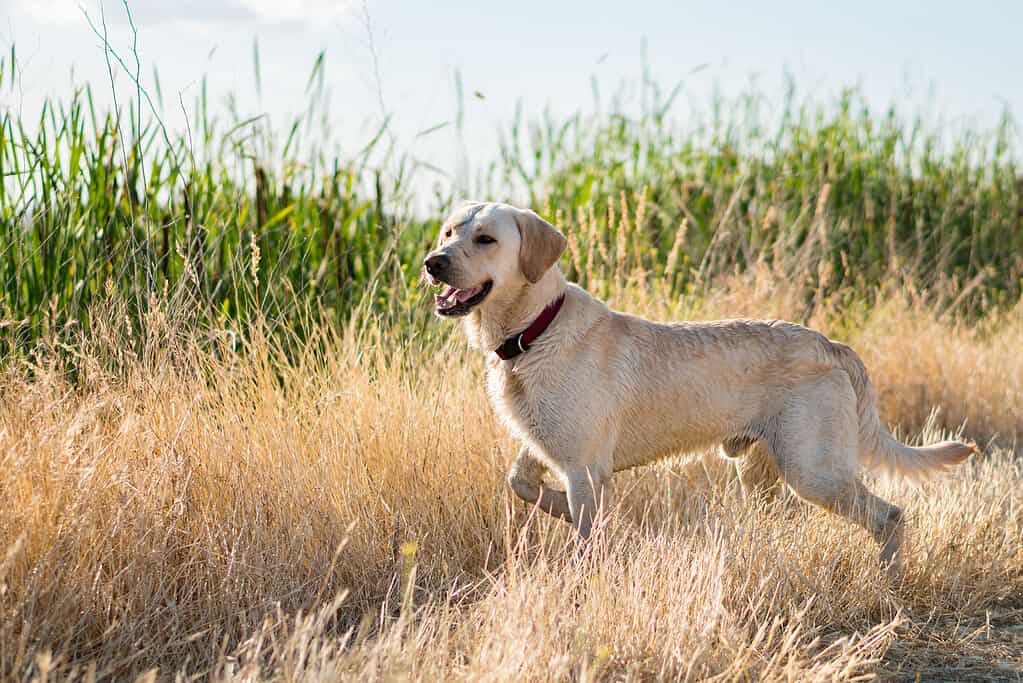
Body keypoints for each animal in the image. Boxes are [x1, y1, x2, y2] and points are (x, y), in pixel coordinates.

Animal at [421, 200, 973, 572]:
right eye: (448, 232)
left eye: (486, 239)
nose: (432, 261)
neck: (534, 330)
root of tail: (830, 343)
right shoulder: (549, 449)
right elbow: (521, 484)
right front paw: (576, 513)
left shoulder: (582, 465)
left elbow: (584, 530)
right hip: (763, 470)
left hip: (814, 471)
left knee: (891, 515)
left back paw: (890, 584)